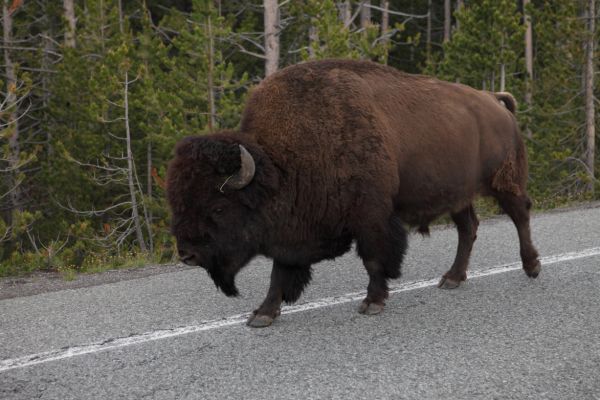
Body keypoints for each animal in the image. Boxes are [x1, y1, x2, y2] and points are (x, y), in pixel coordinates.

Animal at [166, 59, 540, 328]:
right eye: (178, 203)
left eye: (217, 207)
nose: (187, 255)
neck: (279, 164)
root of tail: (495, 101)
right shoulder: (291, 232)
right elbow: (279, 273)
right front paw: (262, 314)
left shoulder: (371, 218)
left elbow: (374, 259)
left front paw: (372, 303)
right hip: (457, 193)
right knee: (468, 228)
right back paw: (452, 278)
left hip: (503, 181)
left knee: (520, 213)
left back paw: (532, 267)